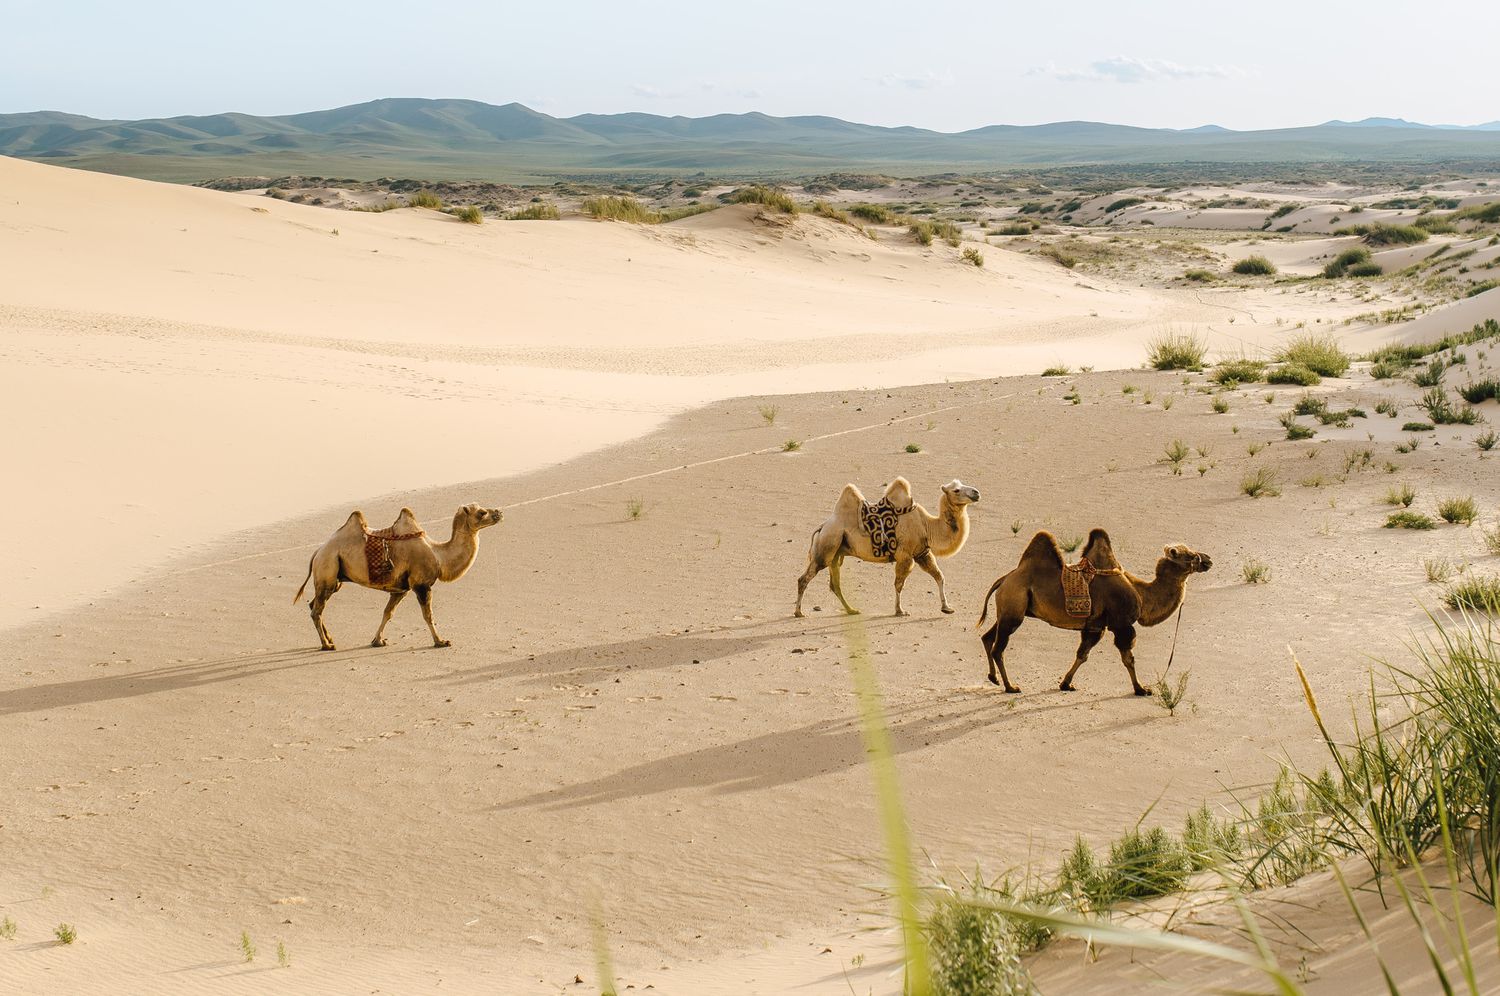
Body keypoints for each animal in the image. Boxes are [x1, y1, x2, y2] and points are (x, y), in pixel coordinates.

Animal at [292, 501, 504, 651]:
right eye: (481, 512)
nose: (499, 512)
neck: (439, 556)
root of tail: (317, 552)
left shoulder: (401, 589)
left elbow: (388, 612)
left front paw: (377, 640)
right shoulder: (421, 585)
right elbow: (428, 615)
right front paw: (440, 641)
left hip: (334, 578)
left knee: (314, 604)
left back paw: (329, 639)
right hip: (328, 567)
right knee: (316, 610)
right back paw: (327, 645)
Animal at [798, 480, 984, 618]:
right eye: (957, 490)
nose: (976, 492)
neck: (927, 525)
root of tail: (822, 527)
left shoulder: (922, 553)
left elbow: (939, 577)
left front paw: (947, 608)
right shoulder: (905, 556)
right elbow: (899, 584)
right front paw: (900, 610)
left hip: (836, 553)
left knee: (835, 584)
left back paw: (852, 610)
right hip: (827, 545)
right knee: (805, 578)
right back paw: (798, 612)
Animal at [972, 525, 1206, 696]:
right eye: (1189, 555)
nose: (1208, 560)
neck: (1141, 593)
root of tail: (1004, 579)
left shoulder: (1095, 626)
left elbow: (1083, 654)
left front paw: (1066, 684)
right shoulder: (1121, 624)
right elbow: (1128, 658)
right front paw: (1141, 689)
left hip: (1008, 610)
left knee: (987, 637)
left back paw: (993, 678)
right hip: (1014, 608)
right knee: (998, 648)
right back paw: (1011, 687)